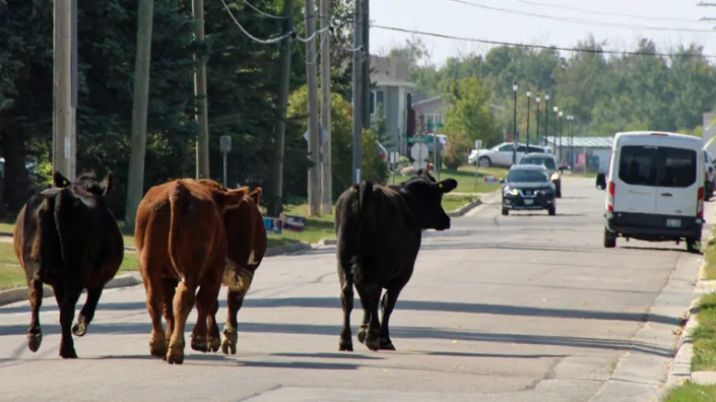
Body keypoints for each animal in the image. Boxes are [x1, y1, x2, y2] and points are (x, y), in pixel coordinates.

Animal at [13, 171, 123, 356]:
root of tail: (61, 196)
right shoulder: (99, 278)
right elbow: (91, 303)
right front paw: (80, 326)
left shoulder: (59, 281)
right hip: (76, 269)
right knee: (67, 309)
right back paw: (67, 349)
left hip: (34, 264)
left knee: (36, 296)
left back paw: (34, 337)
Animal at [134, 179, 246, 364]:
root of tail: (177, 188)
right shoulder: (215, 269)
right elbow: (205, 301)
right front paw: (199, 340)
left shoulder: (167, 276)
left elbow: (168, 306)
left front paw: (169, 337)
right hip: (192, 267)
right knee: (186, 298)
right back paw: (177, 350)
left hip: (149, 264)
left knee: (155, 299)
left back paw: (159, 345)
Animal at [338, 170, 458, 352]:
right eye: (438, 196)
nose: (446, 220)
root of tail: (368, 187)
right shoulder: (404, 273)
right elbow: (387, 303)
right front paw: (383, 338)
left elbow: (365, 301)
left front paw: (362, 331)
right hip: (378, 264)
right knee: (375, 294)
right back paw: (373, 337)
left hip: (344, 259)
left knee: (348, 295)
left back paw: (345, 341)